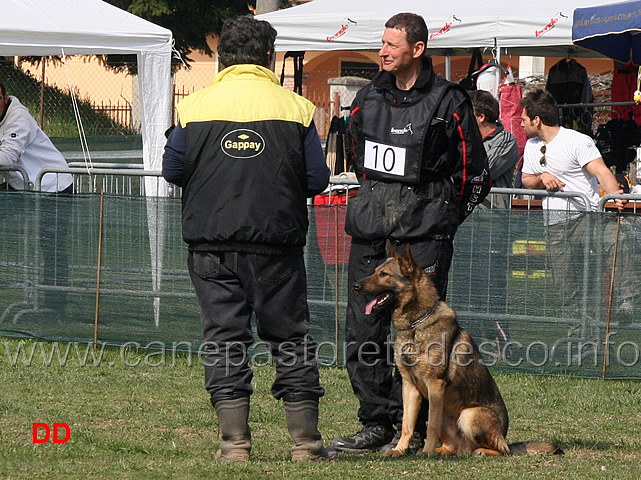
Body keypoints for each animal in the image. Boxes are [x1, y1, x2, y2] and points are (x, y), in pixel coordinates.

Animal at [352, 244, 564, 458]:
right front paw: (399, 450)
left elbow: (431, 426)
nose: (355, 286)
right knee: (453, 447)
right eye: (375, 271)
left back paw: (475, 451)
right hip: (448, 414)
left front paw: (425, 452)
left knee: (502, 450)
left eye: (384, 274)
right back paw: (440, 451)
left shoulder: (435, 385)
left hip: (468, 414)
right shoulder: (409, 387)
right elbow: (407, 425)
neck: (416, 324)